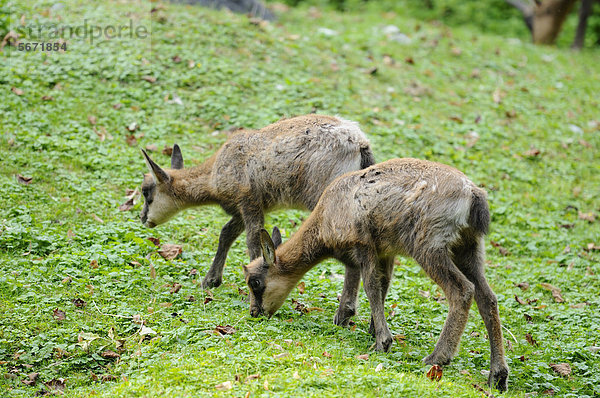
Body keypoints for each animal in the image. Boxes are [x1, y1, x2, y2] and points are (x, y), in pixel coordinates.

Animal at [141, 115, 376, 290]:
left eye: (145, 191)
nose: (143, 218)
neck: (214, 174)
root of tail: (359, 144)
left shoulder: (249, 201)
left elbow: (253, 240)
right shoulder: (244, 208)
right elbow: (226, 234)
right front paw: (211, 280)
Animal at [244, 157, 510, 390]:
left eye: (255, 282)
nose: (255, 313)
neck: (325, 223)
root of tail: (474, 196)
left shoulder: (364, 245)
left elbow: (371, 287)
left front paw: (381, 342)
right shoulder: (385, 251)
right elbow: (383, 286)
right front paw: (367, 328)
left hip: (429, 245)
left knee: (462, 290)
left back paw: (437, 357)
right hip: (469, 248)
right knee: (488, 297)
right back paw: (498, 375)